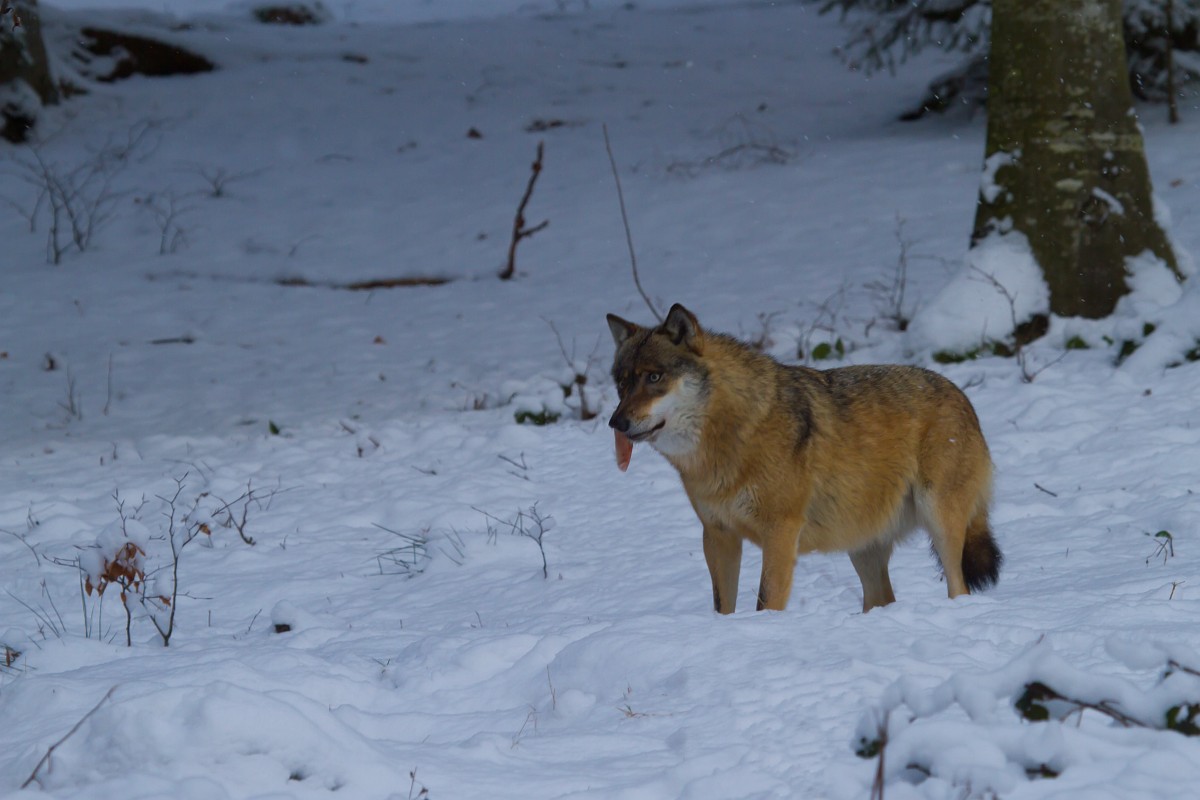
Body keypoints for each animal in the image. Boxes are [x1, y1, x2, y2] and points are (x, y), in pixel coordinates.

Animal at [606, 303, 1001, 614]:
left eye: (654, 377)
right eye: (621, 384)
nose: (616, 422)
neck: (733, 435)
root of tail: (963, 398)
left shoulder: (781, 532)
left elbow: (766, 600)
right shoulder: (717, 536)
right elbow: (722, 606)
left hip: (939, 520)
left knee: (959, 588)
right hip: (863, 548)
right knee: (883, 599)